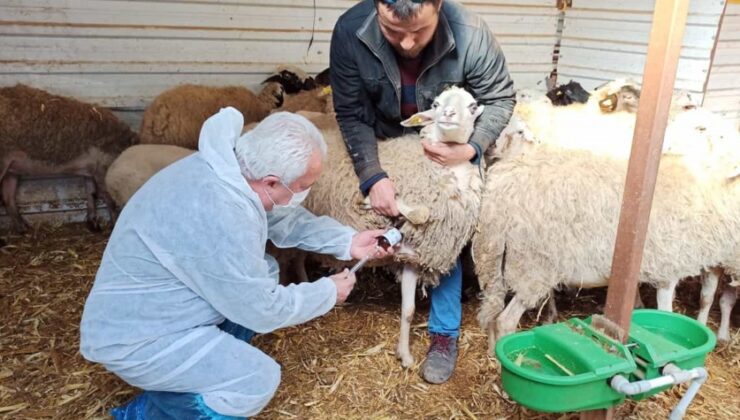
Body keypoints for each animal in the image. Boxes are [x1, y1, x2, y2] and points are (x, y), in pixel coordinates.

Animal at [0, 83, 139, 231]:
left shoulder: (90, 170)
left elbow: (91, 193)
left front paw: (94, 225)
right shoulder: (103, 169)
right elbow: (110, 199)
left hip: (12, 168)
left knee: (8, 197)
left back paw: (25, 229)